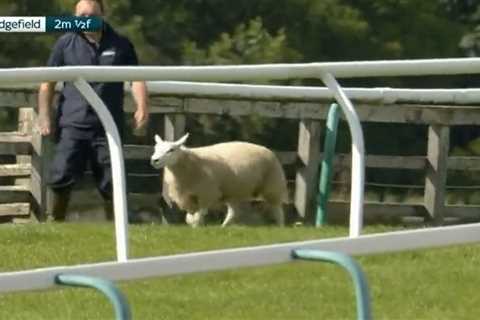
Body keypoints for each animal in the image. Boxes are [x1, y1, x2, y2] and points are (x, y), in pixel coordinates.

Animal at [150, 132, 286, 228]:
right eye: (155, 148)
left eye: (171, 150)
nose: (154, 160)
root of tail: (266, 148)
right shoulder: (187, 197)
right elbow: (189, 218)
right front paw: (194, 224)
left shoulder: (207, 193)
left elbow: (198, 215)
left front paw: (196, 226)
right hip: (233, 191)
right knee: (234, 212)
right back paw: (223, 227)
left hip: (273, 185)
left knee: (277, 209)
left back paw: (280, 226)